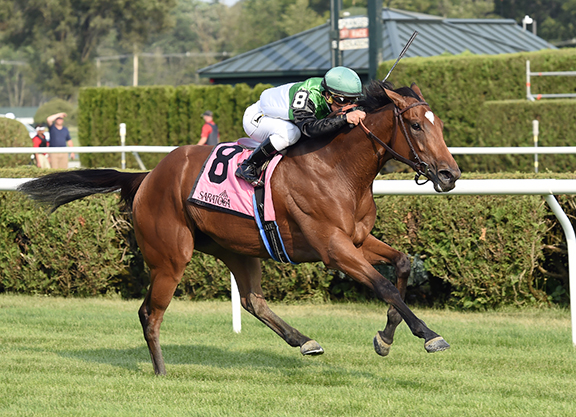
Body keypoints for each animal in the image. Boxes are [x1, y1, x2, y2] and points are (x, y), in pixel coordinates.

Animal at [18, 80, 462, 374]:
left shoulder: (356, 238)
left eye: (440, 125)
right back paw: (161, 370)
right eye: (417, 126)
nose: (449, 174)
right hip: (170, 258)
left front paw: (385, 338)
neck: (338, 168)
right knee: (149, 312)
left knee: (252, 301)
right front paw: (427, 333)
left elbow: (401, 263)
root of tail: (146, 177)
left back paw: (304, 341)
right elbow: (384, 284)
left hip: (237, 248)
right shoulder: (333, 248)